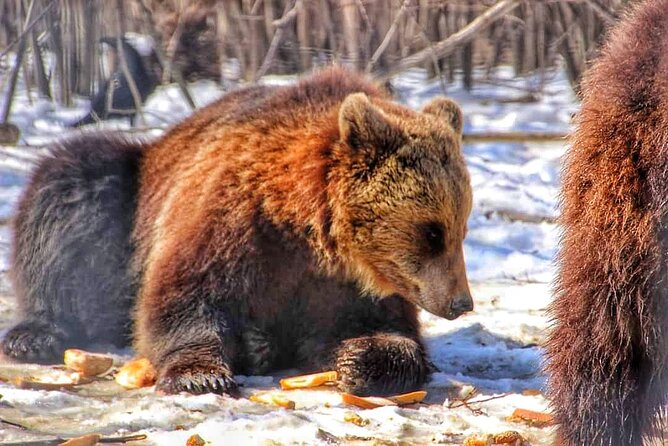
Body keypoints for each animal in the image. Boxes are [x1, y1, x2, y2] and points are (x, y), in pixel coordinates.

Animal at [1, 67, 473, 397]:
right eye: (433, 232)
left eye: (461, 226)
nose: (461, 303)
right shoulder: (233, 224)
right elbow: (183, 297)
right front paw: (200, 375)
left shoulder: (346, 286)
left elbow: (387, 331)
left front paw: (360, 358)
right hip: (126, 201)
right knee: (71, 188)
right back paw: (35, 334)